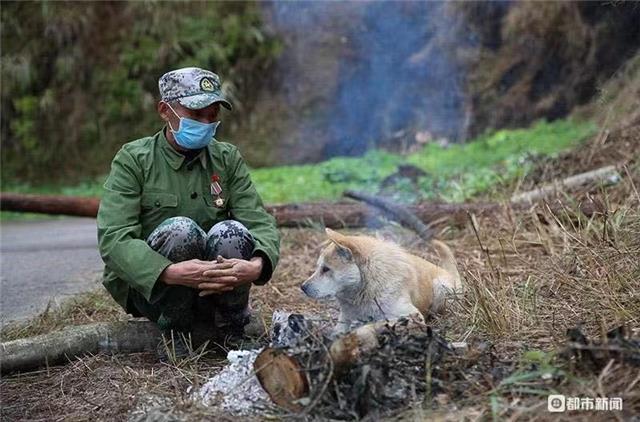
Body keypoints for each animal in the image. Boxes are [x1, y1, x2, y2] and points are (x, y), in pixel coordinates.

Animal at [300, 227, 460, 332]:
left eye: (326, 269)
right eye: (318, 267)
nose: (302, 287)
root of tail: (449, 274)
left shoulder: (412, 316)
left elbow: (382, 322)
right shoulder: (344, 319)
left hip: (440, 288)